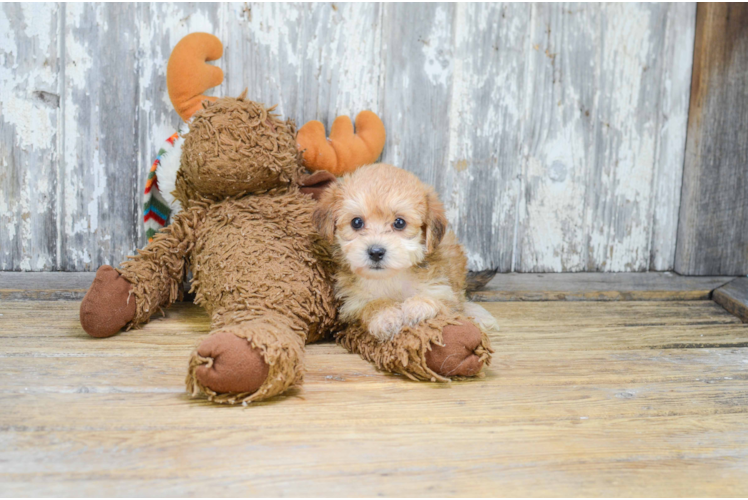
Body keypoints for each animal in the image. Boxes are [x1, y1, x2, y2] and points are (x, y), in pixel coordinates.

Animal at [312, 162, 500, 342]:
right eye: (356, 222)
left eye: (399, 223)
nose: (376, 252)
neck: (390, 277)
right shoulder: (353, 304)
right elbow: (369, 306)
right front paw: (385, 315)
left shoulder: (442, 290)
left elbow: (441, 302)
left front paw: (418, 306)